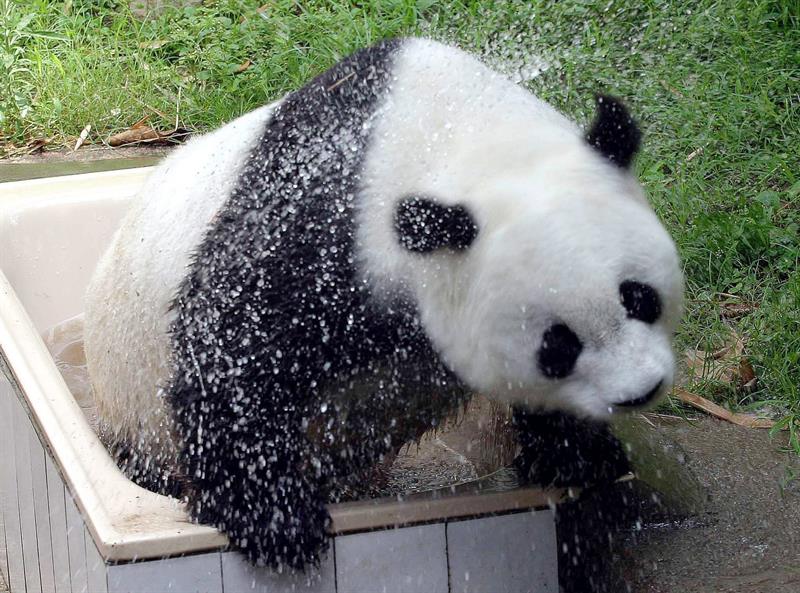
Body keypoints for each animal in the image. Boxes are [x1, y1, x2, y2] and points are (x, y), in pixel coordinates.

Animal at [84, 37, 683, 569]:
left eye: (641, 299)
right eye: (557, 345)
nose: (641, 391)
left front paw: (581, 454)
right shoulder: (326, 222)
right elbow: (236, 341)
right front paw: (274, 522)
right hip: (131, 408)